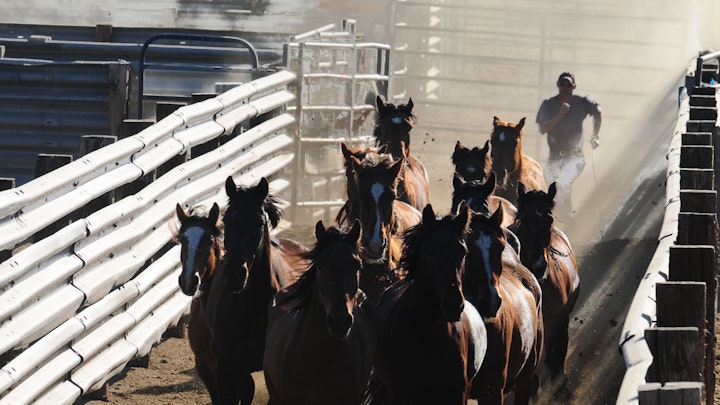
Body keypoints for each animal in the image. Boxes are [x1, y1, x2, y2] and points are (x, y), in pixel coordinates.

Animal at [371, 203, 487, 405]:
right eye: (429, 251)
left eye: (463, 252)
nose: (453, 305)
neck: (426, 335)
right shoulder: (400, 394)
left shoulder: (458, 395)